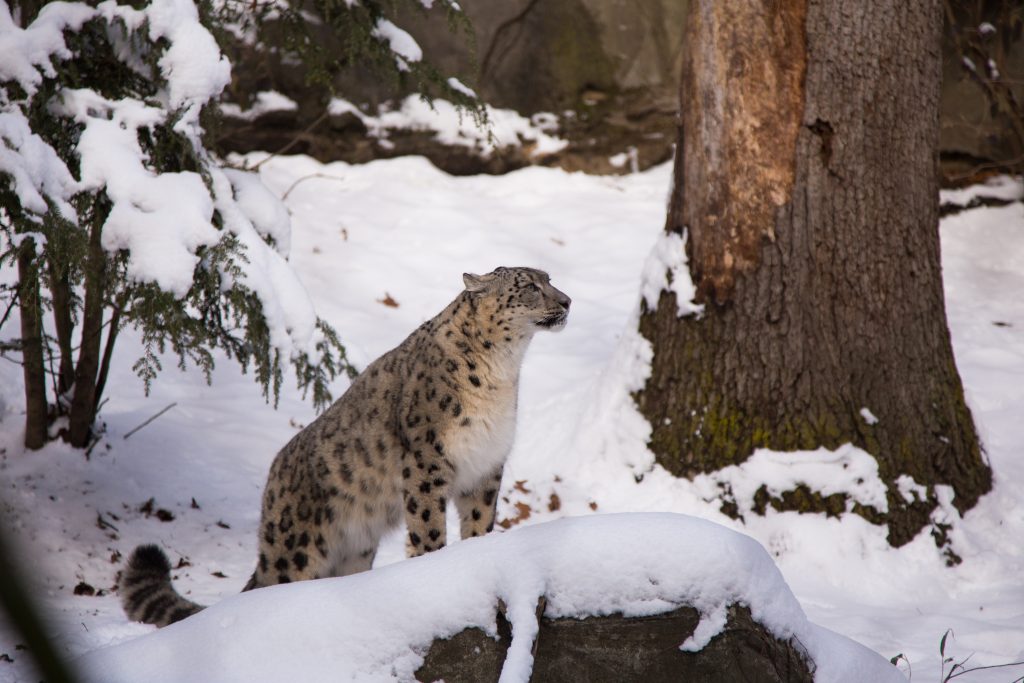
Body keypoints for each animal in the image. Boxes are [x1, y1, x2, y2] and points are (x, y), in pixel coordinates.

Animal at [117, 266, 577, 626]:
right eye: (530, 286)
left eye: (549, 279)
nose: (568, 300)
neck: (503, 371)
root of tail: (272, 483)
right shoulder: (427, 463)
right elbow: (428, 528)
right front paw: (434, 569)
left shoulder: (486, 465)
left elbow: (479, 523)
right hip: (294, 549)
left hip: (355, 550)